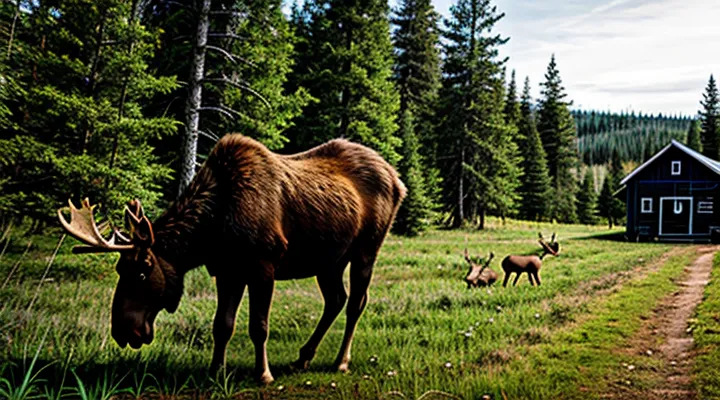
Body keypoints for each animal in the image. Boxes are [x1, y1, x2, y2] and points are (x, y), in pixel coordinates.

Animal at [56, 134, 406, 385]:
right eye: (119, 268)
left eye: (143, 271)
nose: (123, 331)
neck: (212, 232)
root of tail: (398, 180)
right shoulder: (227, 270)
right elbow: (222, 325)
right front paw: (215, 371)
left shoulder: (263, 264)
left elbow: (258, 326)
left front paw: (263, 374)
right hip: (329, 261)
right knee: (335, 299)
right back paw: (304, 356)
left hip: (366, 250)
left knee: (355, 303)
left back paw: (341, 361)